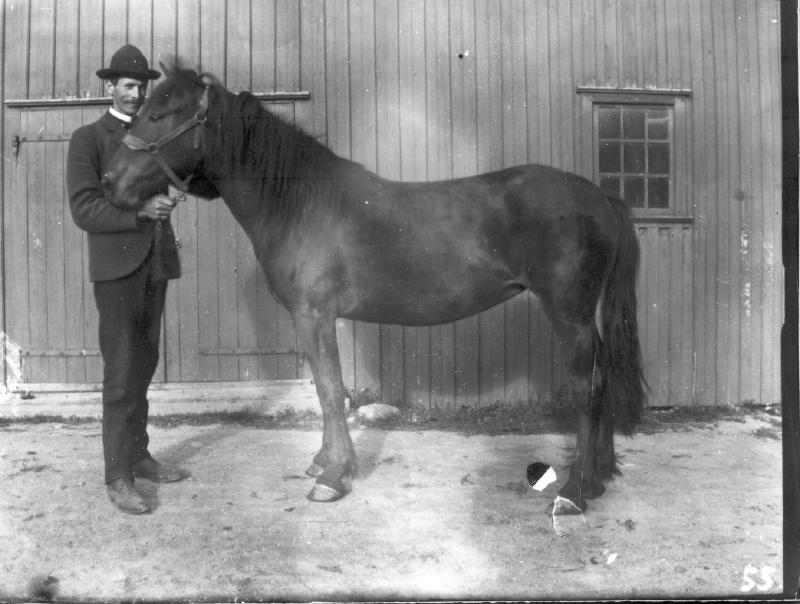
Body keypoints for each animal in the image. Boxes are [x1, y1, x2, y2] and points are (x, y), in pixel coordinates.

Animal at [102, 66, 646, 513]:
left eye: (162, 113)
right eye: (143, 107)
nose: (109, 179)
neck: (302, 202)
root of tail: (601, 197)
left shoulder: (314, 315)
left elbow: (329, 391)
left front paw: (333, 476)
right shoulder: (313, 318)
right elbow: (328, 388)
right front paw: (323, 461)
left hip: (569, 315)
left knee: (588, 387)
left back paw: (575, 490)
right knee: (603, 376)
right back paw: (598, 476)